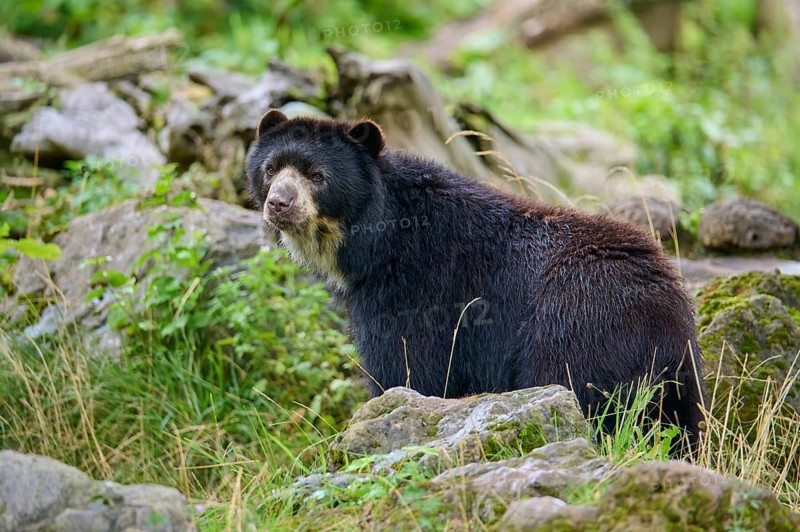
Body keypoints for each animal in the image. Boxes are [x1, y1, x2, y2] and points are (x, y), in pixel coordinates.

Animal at [245, 109, 706, 451]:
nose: (280, 203)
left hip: (576, 323)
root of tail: (660, 309)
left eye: (317, 175)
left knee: (571, 385)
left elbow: (406, 368)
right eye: (270, 169)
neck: (374, 241)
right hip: (680, 375)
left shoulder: (413, 288)